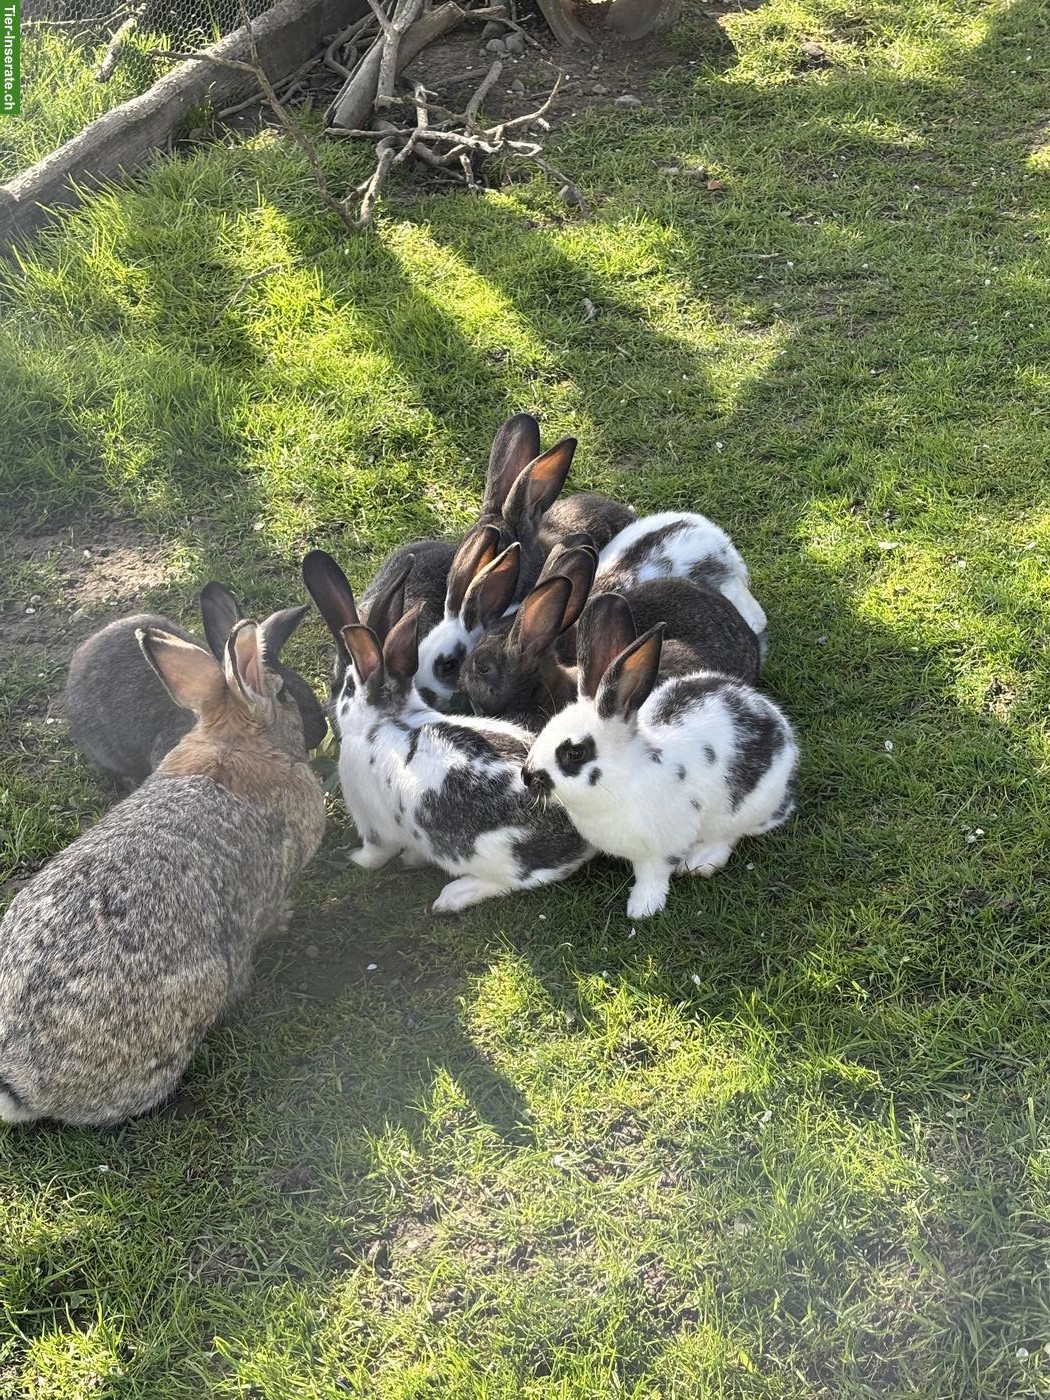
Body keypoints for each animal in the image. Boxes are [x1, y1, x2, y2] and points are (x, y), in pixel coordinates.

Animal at [0, 619, 327, 1127]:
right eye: (285, 695)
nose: (322, 727)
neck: (236, 740)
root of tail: (20, 1080)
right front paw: (284, 921)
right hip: (197, 991)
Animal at [301, 549, 593, 914]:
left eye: (347, 688)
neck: (387, 718)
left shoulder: (373, 826)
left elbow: (375, 854)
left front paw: (357, 860)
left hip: (492, 856)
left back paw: (452, 896)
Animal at [522, 594, 798, 920]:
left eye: (574, 752)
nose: (526, 775)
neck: (625, 777)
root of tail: (777, 721)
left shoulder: (663, 846)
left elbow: (652, 875)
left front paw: (642, 907)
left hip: (751, 806)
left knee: (733, 833)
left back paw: (701, 860)